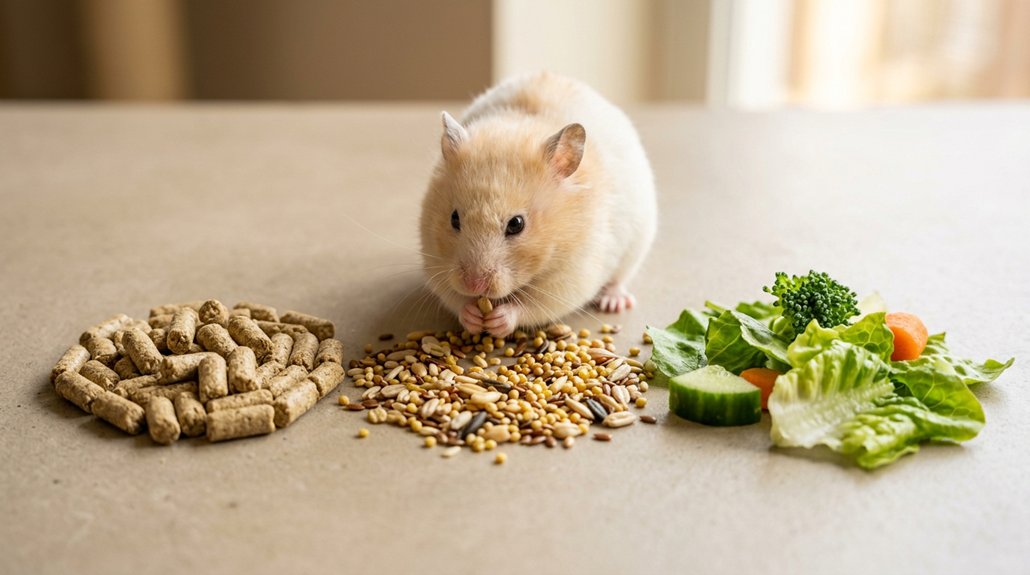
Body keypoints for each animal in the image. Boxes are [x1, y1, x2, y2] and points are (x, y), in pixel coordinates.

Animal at [420, 71, 657, 337]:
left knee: (619, 280)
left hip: (637, 244)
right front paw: (472, 315)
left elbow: (534, 306)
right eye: (454, 218)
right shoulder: (434, 258)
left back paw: (613, 302)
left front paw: (499, 319)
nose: (473, 284)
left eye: (516, 224)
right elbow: (453, 297)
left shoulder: (572, 275)